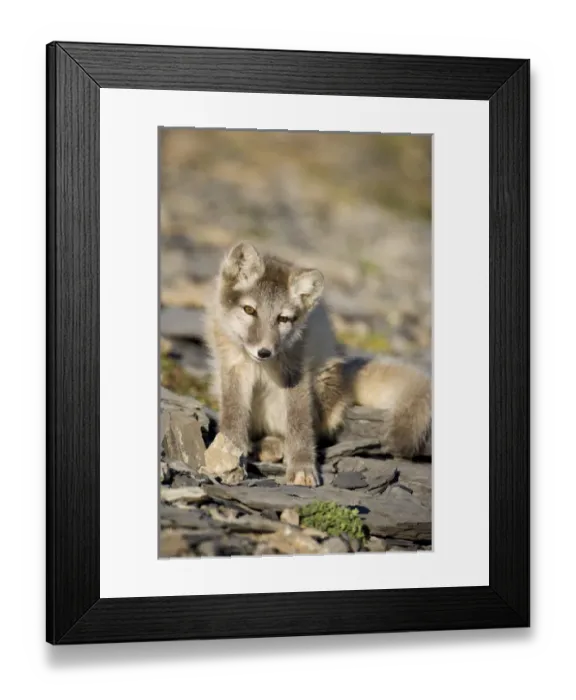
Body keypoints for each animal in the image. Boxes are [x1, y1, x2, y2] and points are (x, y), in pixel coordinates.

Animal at [204, 241, 431, 487]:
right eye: (249, 310)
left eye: (283, 319)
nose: (264, 352)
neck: (262, 366)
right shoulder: (232, 367)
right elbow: (233, 415)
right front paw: (229, 457)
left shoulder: (295, 373)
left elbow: (300, 424)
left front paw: (301, 467)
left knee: (310, 431)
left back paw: (272, 447)